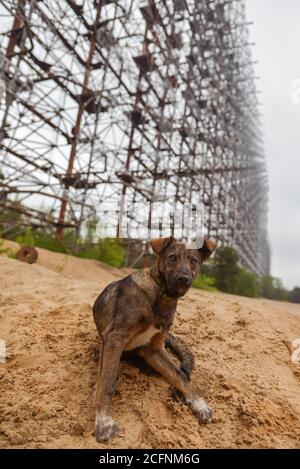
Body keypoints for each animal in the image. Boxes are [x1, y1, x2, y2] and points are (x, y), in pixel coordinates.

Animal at [93, 236, 216, 440]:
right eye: (172, 258)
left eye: (193, 261)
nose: (184, 279)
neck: (161, 295)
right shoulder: (115, 338)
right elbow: (108, 382)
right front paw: (104, 423)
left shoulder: (154, 350)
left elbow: (179, 376)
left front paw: (199, 403)